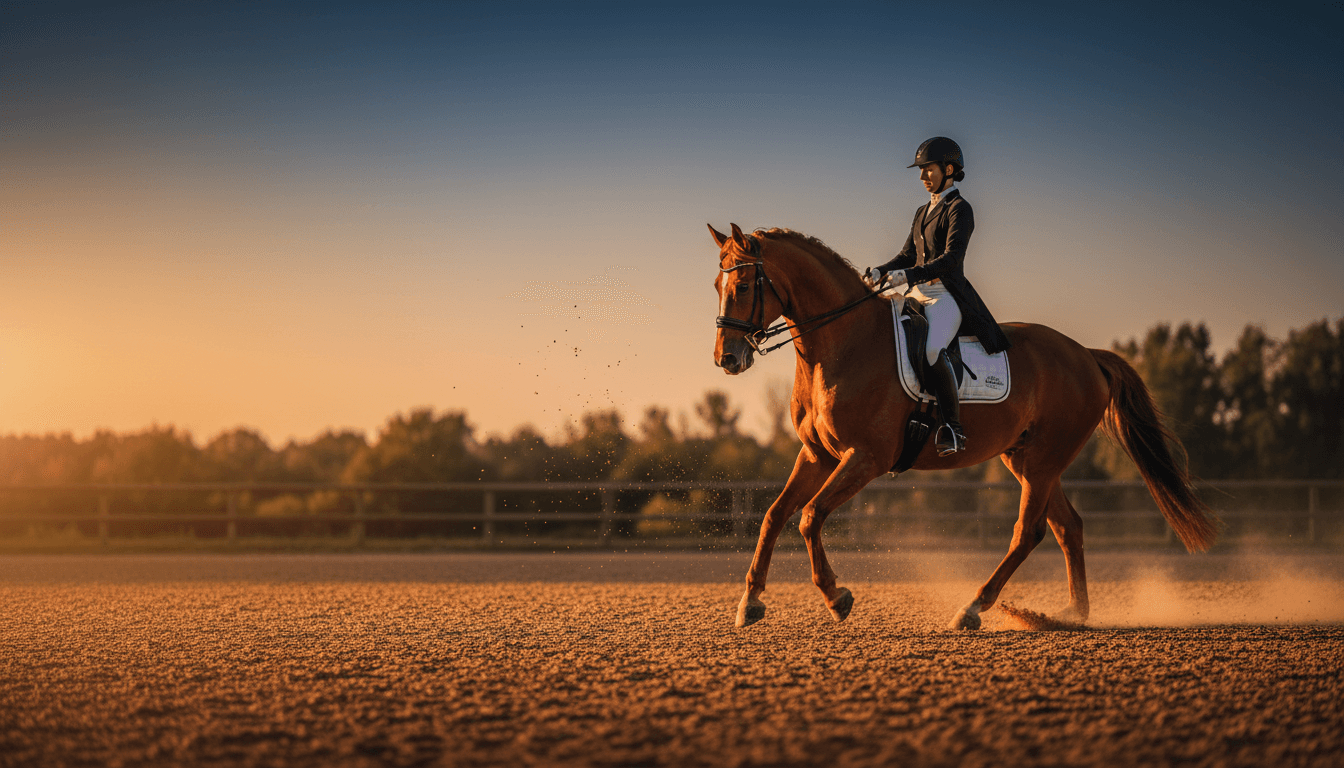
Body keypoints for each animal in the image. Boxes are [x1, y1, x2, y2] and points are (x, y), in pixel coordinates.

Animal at [708, 223, 1217, 629]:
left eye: (745, 284)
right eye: (717, 283)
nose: (726, 359)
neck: (843, 344)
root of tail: (1086, 355)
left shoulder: (866, 458)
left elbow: (810, 516)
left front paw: (837, 598)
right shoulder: (817, 455)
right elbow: (774, 516)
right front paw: (750, 604)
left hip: (1043, 461)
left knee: (1028, 531)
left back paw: (974, 608)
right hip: (1028, 459)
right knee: (1067, 527)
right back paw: (1071, 615)